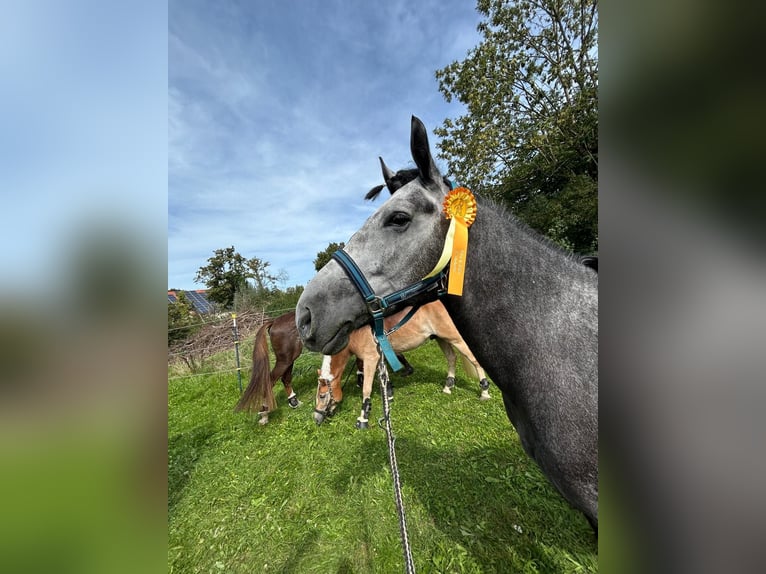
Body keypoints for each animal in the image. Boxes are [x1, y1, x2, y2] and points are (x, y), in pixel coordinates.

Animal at [313, 299, 491, 427]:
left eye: (322, 395)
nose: (316, 418)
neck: (356, 334)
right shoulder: (380, 358)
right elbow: (384, 380)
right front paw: (389, 396)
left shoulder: (370, 360)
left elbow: (366, 389)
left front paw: (363, 418)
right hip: (441, 339)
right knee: (451, 358)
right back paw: (448, 387)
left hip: (455, 338)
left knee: (475, 360)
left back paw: (484, 392)